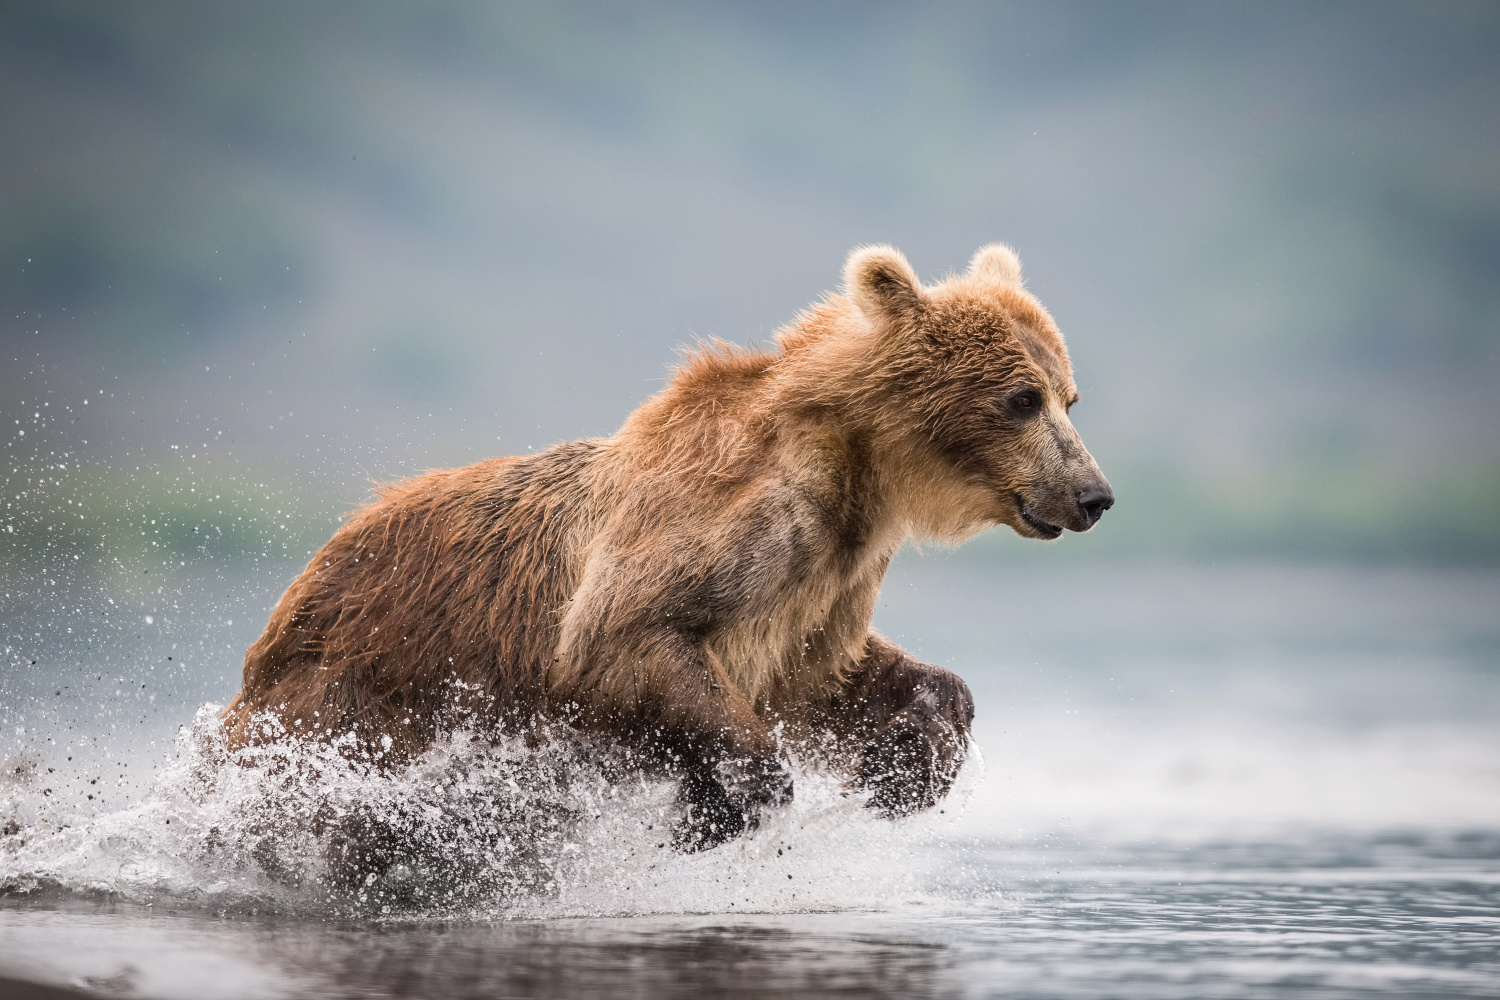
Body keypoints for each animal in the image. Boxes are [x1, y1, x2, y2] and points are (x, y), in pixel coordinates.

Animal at [222, 245, 1116, 851]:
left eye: (1069, 395)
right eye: (1021, 397)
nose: (1093, 495)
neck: (858, 474)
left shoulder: (826, 584)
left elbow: (832, 674)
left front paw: (908, 767)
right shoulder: (719, 524)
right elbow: (624, 635)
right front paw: (720, 805)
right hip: (349, 697)